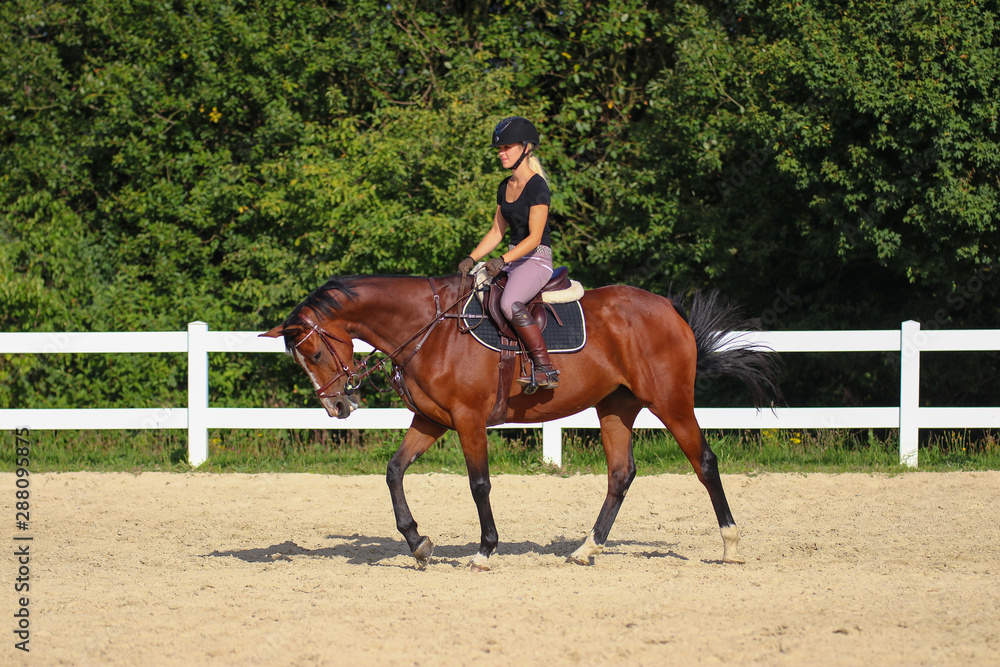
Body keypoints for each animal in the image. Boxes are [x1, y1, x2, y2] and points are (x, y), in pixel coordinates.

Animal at [262, 274, 776, 572]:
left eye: (313, 353)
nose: (337, 407)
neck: (430, 328)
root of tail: (667, 307)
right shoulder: (431, 419)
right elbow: (394, 471)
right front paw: (418, 542)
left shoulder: (467, 420)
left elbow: (479, 485)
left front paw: (485, 550)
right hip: (616, 406)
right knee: (620, 474)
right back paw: (586, 549)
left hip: (670, 402)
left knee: (704, 463)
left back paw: (730, 546)